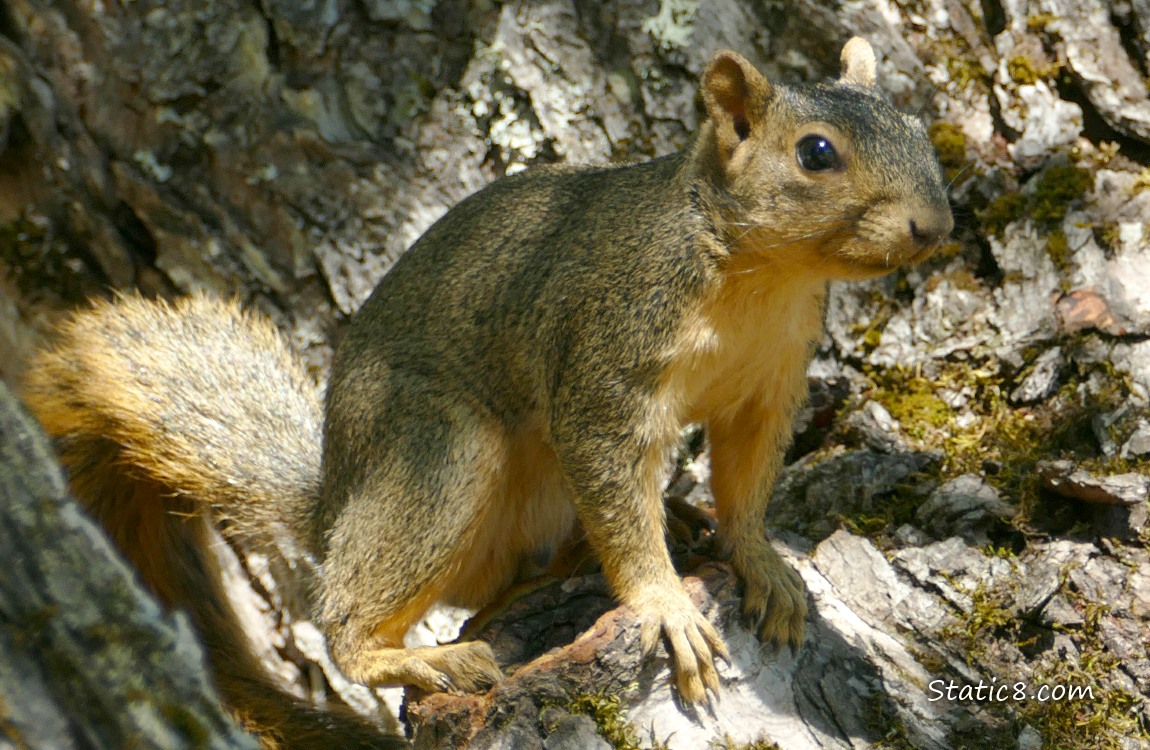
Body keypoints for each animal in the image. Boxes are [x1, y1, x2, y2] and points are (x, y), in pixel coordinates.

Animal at [22, 37, 951, 748]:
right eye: (816, 153)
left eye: (919, 129)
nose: (936, 226)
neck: (760, 277)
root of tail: (333, 503)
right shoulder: (606, 361)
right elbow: (615, 489)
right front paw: (663, 603)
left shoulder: (769, 384)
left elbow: (750, 482)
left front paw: (759, 560)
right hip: (438, 452)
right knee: (347, 618)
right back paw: (410, 654)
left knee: (502, 585)